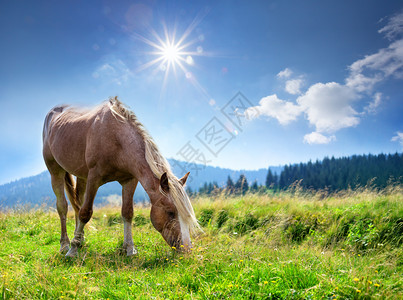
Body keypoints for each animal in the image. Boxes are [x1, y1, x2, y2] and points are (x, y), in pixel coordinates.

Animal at [42, 97, 200, 256]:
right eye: (170, 212)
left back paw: (80, 239)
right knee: (63, 206)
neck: (116, 139)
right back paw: (65, 244)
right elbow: (86, 213)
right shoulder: (94, 178)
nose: (187, 248)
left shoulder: (129, 180)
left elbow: (127, 212)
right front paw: (73, 250)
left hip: (82, 176)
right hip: (55, 171)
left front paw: (129, 248)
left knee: (77, 203)